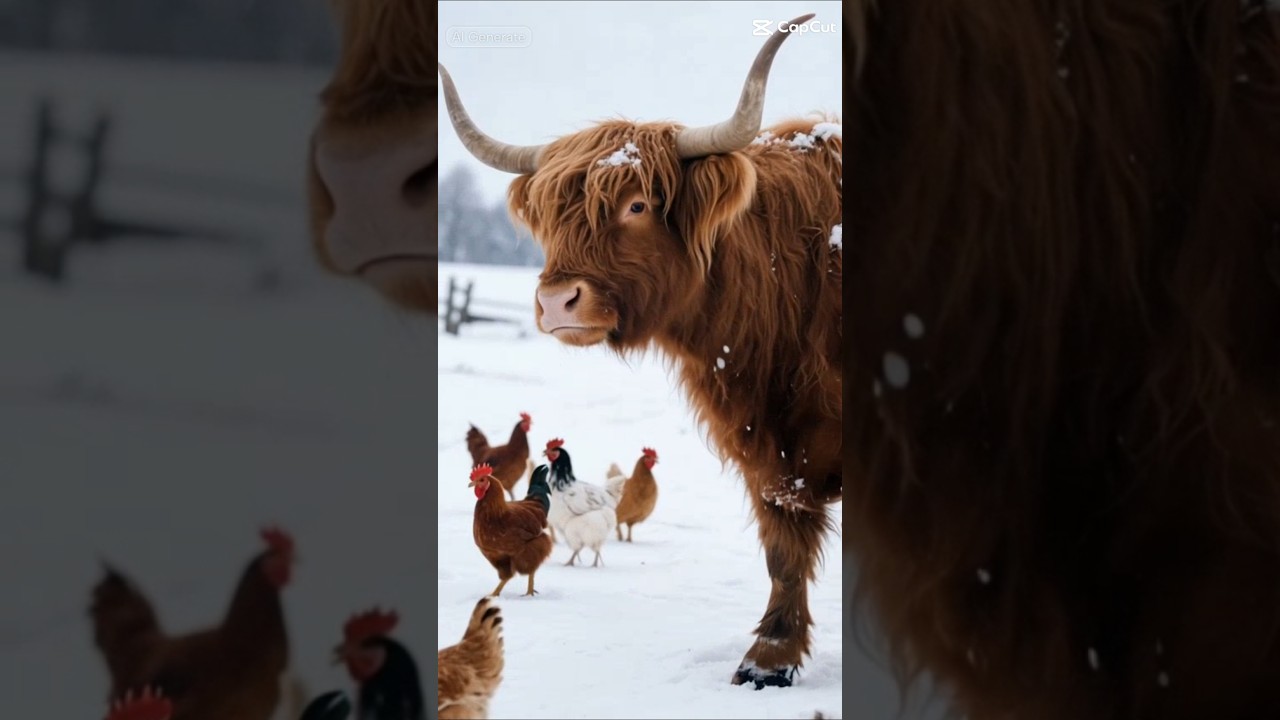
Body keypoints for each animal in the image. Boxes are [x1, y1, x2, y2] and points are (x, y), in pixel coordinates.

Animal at [434, 17, 843, 689]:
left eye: (637, 205)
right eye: (551, 216)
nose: (555, 301)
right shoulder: (770, 452)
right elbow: (785, 550)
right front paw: (769, 659)